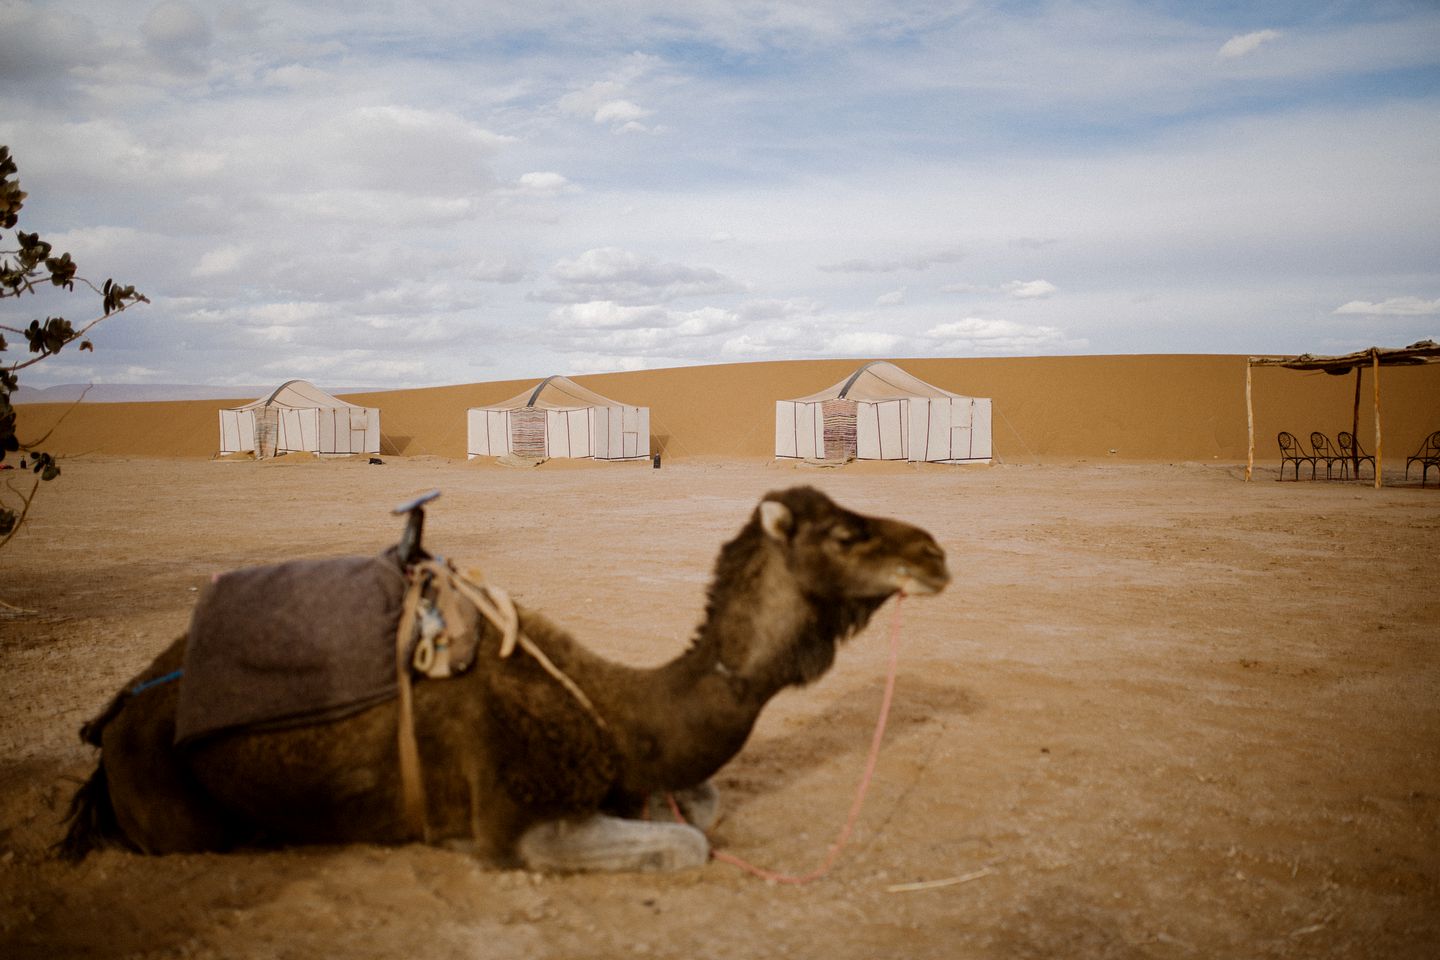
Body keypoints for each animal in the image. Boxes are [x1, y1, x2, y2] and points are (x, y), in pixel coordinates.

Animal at [61, 489, 950, 869]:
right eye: (844, 533)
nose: (935, 551)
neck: (613, 710)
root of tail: (111, 726)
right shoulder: (517, 820)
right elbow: (691, 841)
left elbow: (702, 803)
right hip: (179, 819)